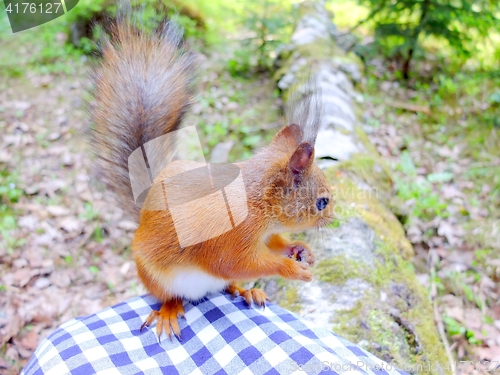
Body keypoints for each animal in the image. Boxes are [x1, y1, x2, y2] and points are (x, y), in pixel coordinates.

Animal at [91, 6, 334, 340]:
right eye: (322, 202)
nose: (332, 220)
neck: (258, 203)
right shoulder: (232, 237)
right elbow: (237, 263)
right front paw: (292, 268)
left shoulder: (264, 233)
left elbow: (272, 245)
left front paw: (300, 249)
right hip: (154, 275)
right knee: (170, 295)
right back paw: (169, 311)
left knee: (228, 284)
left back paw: (246, 291)